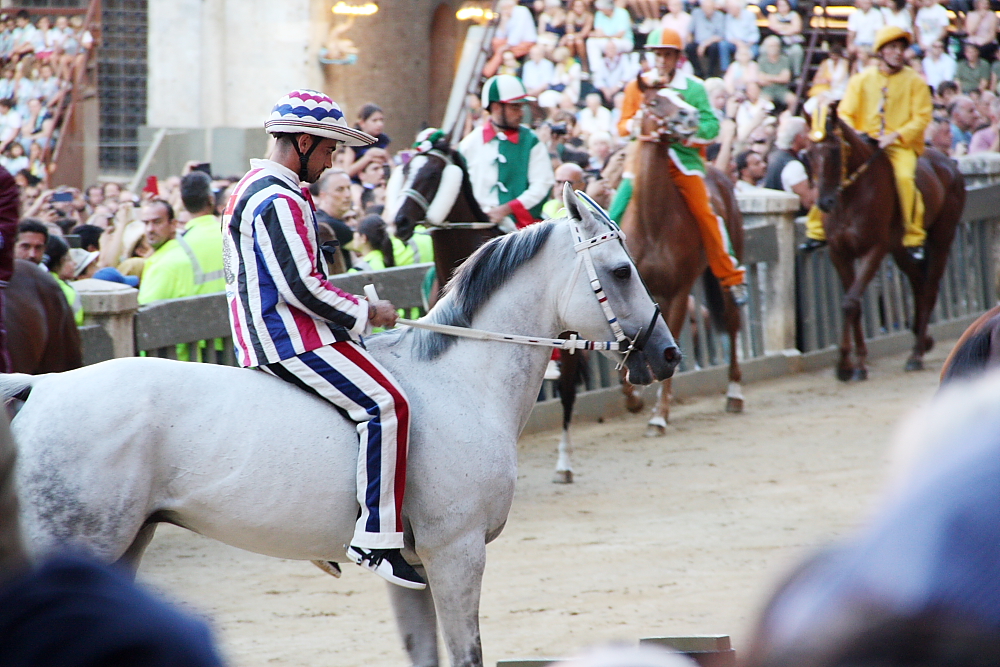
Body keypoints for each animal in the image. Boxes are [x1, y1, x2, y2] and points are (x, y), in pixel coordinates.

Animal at [0, 188, 680, 667]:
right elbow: (467, 654)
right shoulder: (456, 555)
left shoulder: (413, 572)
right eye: (621, 270)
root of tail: (43, 387)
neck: (458, 380)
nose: (667, 354)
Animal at [620, 79, 748, 438]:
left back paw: (735, 393)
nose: (689, 116)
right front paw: (632, 397)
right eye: (654, 101)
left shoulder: (677, 291)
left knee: (732, 321)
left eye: (680, 96)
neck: (652, 221)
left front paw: (658, 415)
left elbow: (673, 342)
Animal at [808, 104, 964, 380]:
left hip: (941, 238)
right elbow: (853, 304)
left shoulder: (875, 248)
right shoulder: (839, 252)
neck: (850, 197)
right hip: (901, 249)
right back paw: (922, 339)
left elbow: (850, 302)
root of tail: (949, 164)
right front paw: (853, 362)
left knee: (929, 288)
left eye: (835, 150)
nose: (824, 202)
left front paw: (848, 364)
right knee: (919, 283)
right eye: (807, 154)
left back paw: (916, 354)